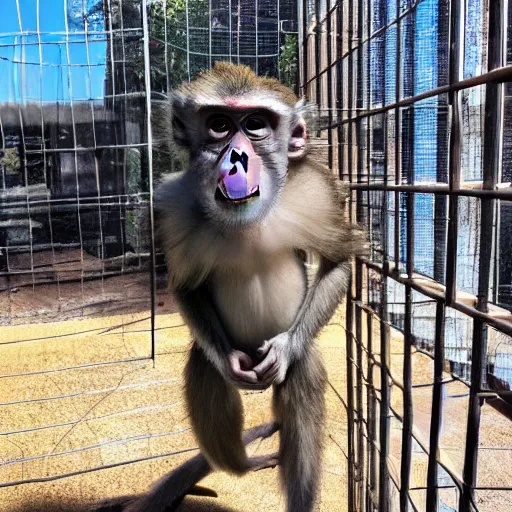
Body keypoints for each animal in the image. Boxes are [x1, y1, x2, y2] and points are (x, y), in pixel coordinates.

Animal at [122, 63, 366, 512]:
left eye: (255, 125)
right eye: (219, 125)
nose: (237, 158)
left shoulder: (315, 191)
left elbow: (339, 261)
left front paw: (285, 350)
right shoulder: (171, 204)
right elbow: (185, 285)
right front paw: (228, 364)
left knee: (301, 374)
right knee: (203, 365)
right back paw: (242, 462)